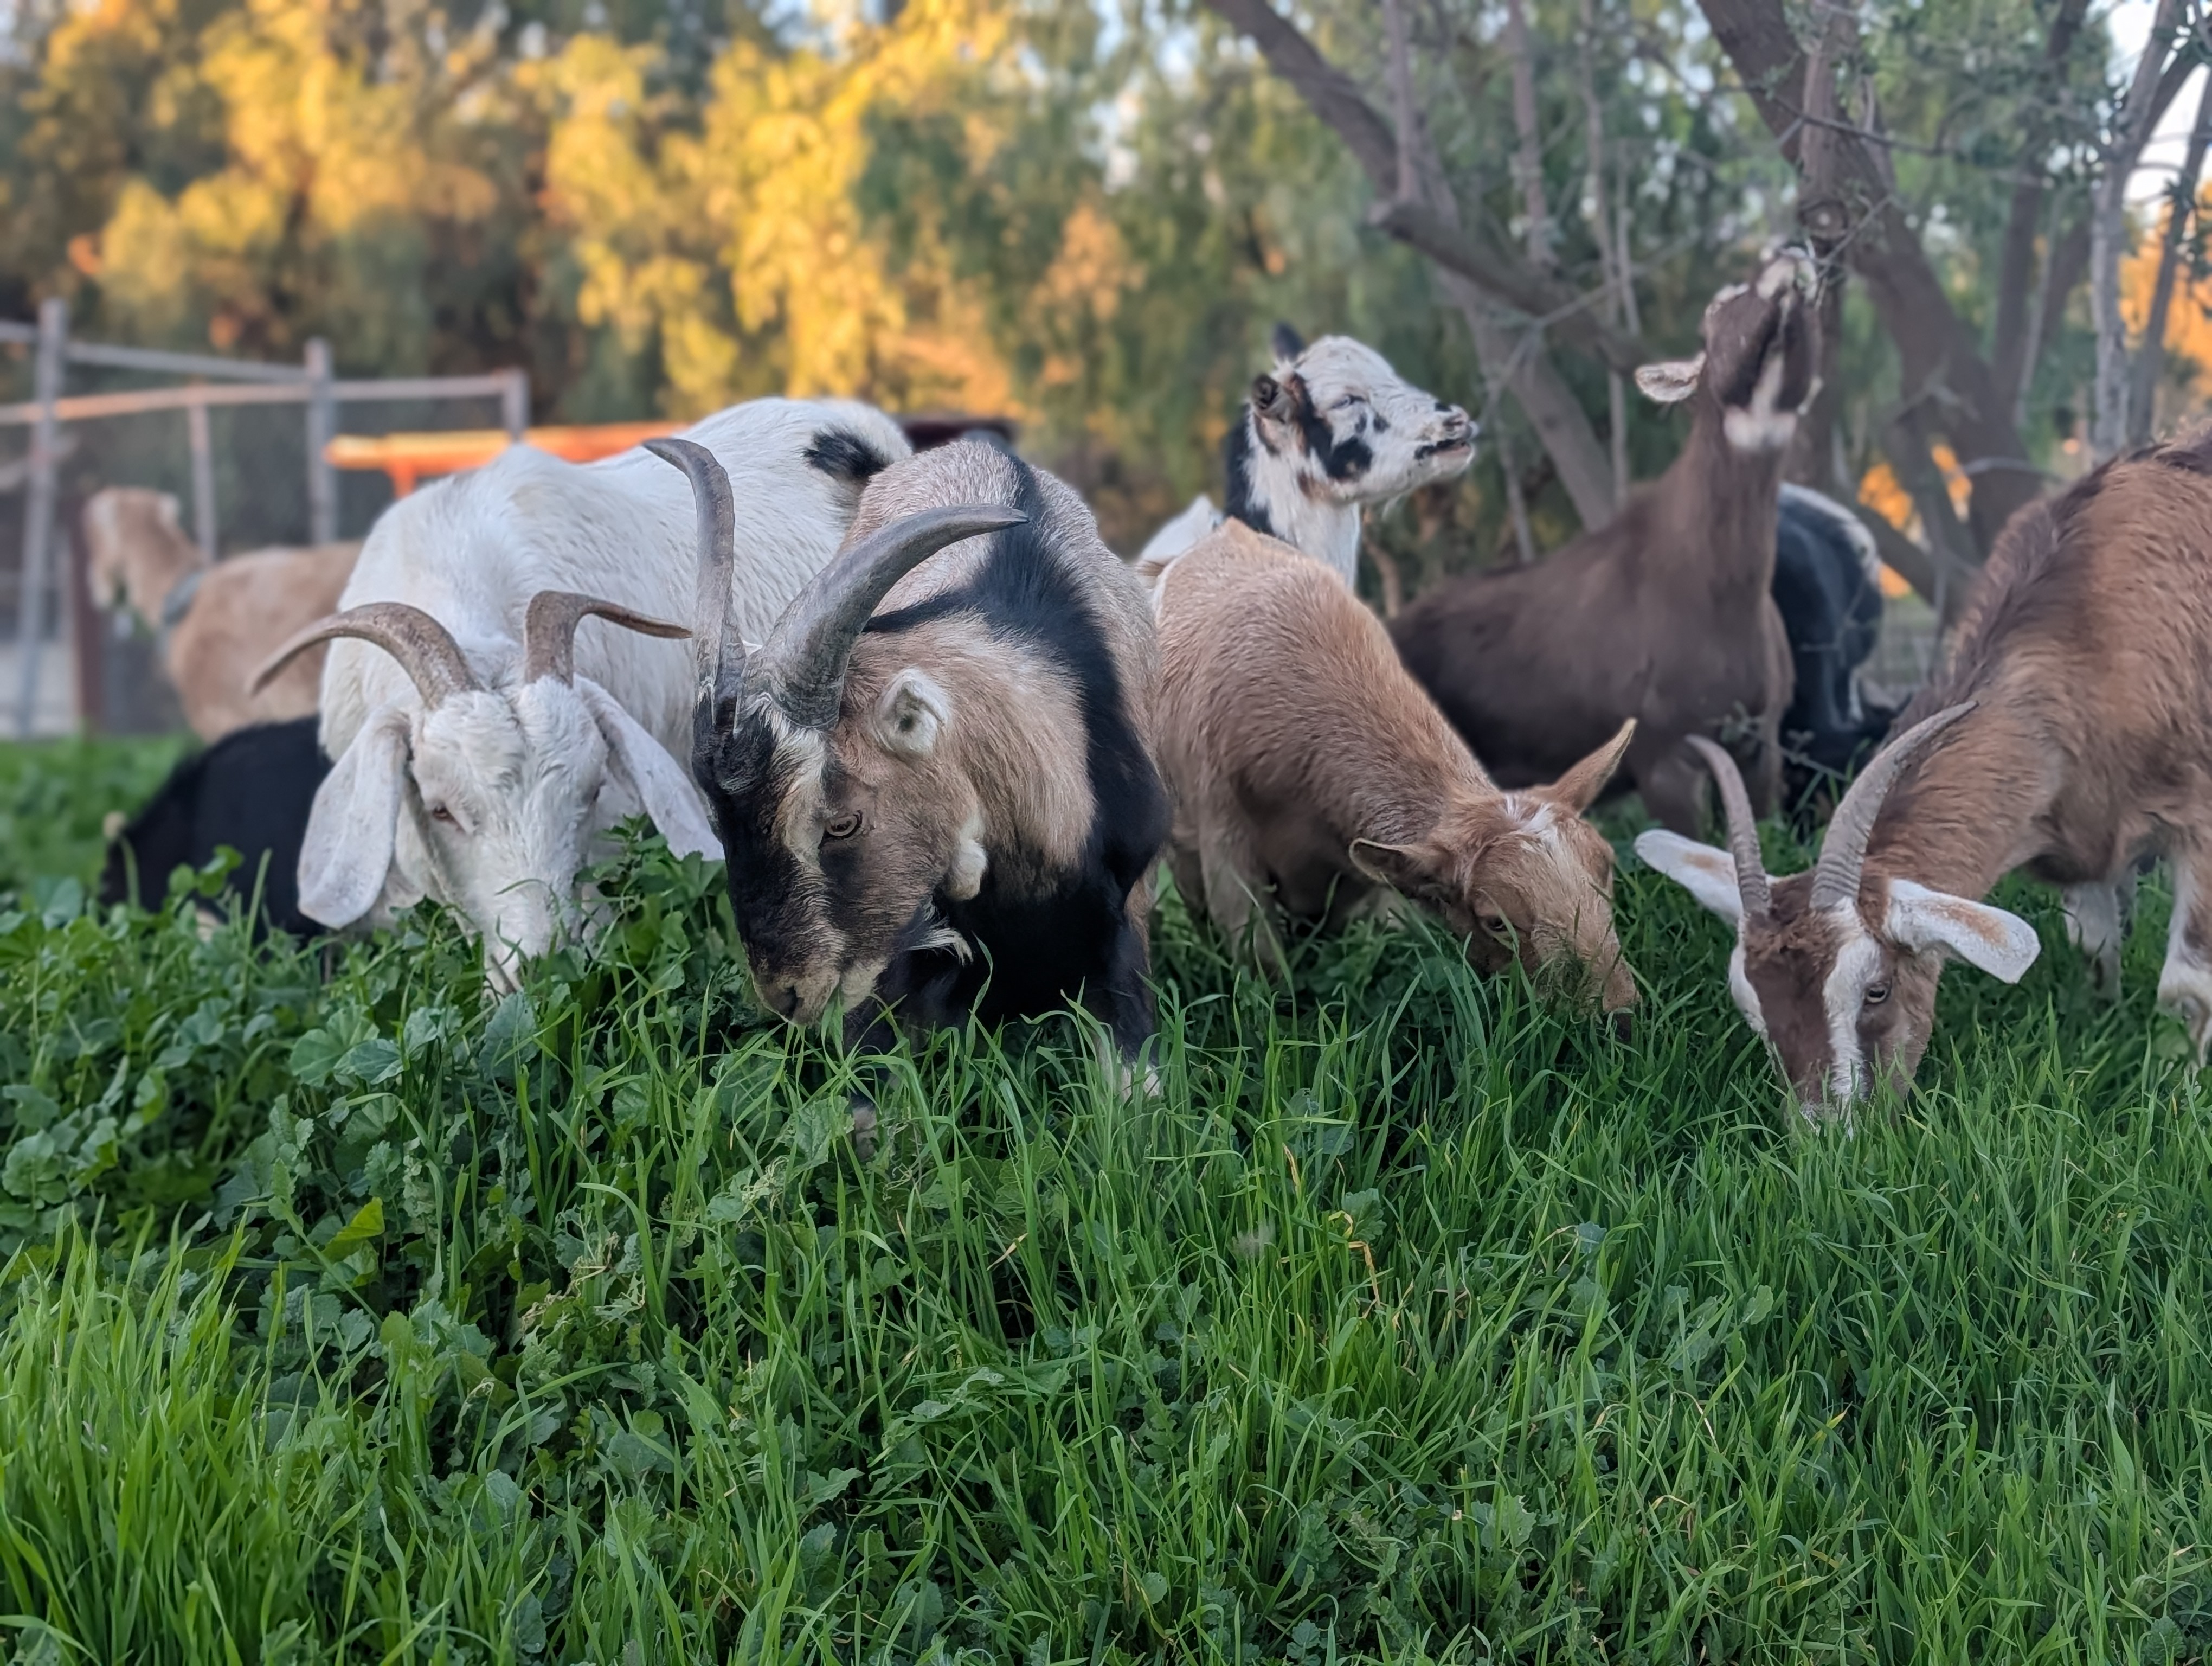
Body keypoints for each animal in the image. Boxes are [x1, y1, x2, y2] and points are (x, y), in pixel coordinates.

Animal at [1636, 429, 2212, 1114]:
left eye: (1877, 989)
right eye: (1752, 1009)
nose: (1829, 1130)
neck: (2092, 636)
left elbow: (2186, 990)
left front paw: (2181, 1096)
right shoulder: (2081, 847)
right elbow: (2097, 953)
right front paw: (2104, 1029)